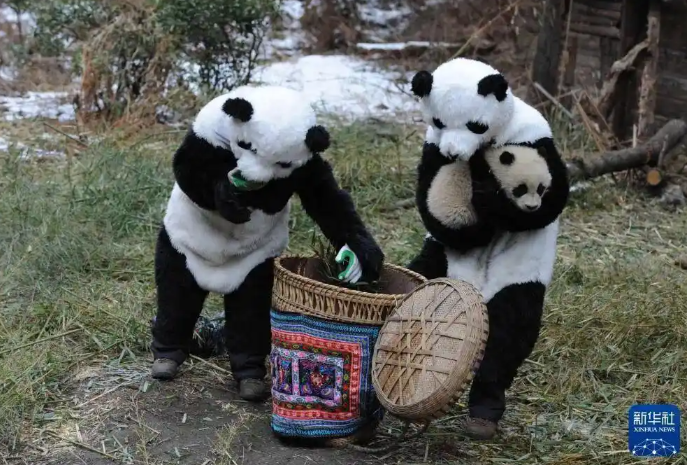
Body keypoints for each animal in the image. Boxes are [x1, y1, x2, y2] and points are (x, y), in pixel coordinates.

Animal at [150, 84, 385, 402]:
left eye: (282, 162)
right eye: (246, 145)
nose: (250, 178)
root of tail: (215, 280)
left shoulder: (306, 167)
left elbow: (328, 201)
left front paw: (367, 255)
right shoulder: (206, 136)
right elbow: (189, 172)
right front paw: (228, 198)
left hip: (255, 264)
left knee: (249, 311)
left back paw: (250, 377)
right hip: (181, 248)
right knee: (176, 297)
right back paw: (166, 357)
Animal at [407, 57, 570, 440]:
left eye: (475, 125)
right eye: (438, 121)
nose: (454, 152)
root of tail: (475, 289)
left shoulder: (536, 137)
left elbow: (554, 198)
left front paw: (497, 202)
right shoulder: (431, 150)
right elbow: (428, 200)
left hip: (519, 276)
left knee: (511, 330)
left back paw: (484, 410)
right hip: (439, 258)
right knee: (420, 272)